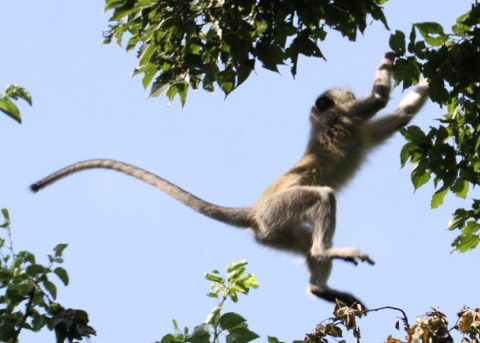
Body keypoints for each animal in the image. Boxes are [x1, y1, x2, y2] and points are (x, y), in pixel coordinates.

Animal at [30, 53, 428, 310]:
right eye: (344, 93)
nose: (347, 91)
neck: (325, 120)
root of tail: (253, 210)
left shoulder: (355, 127)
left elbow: (402, 115)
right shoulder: (345, 117)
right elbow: (378, 100)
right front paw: (396, 59)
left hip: (273, 232)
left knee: (302, 242)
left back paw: (318, 289)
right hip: (278, 210)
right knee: (323, 198)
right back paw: (324, 251)